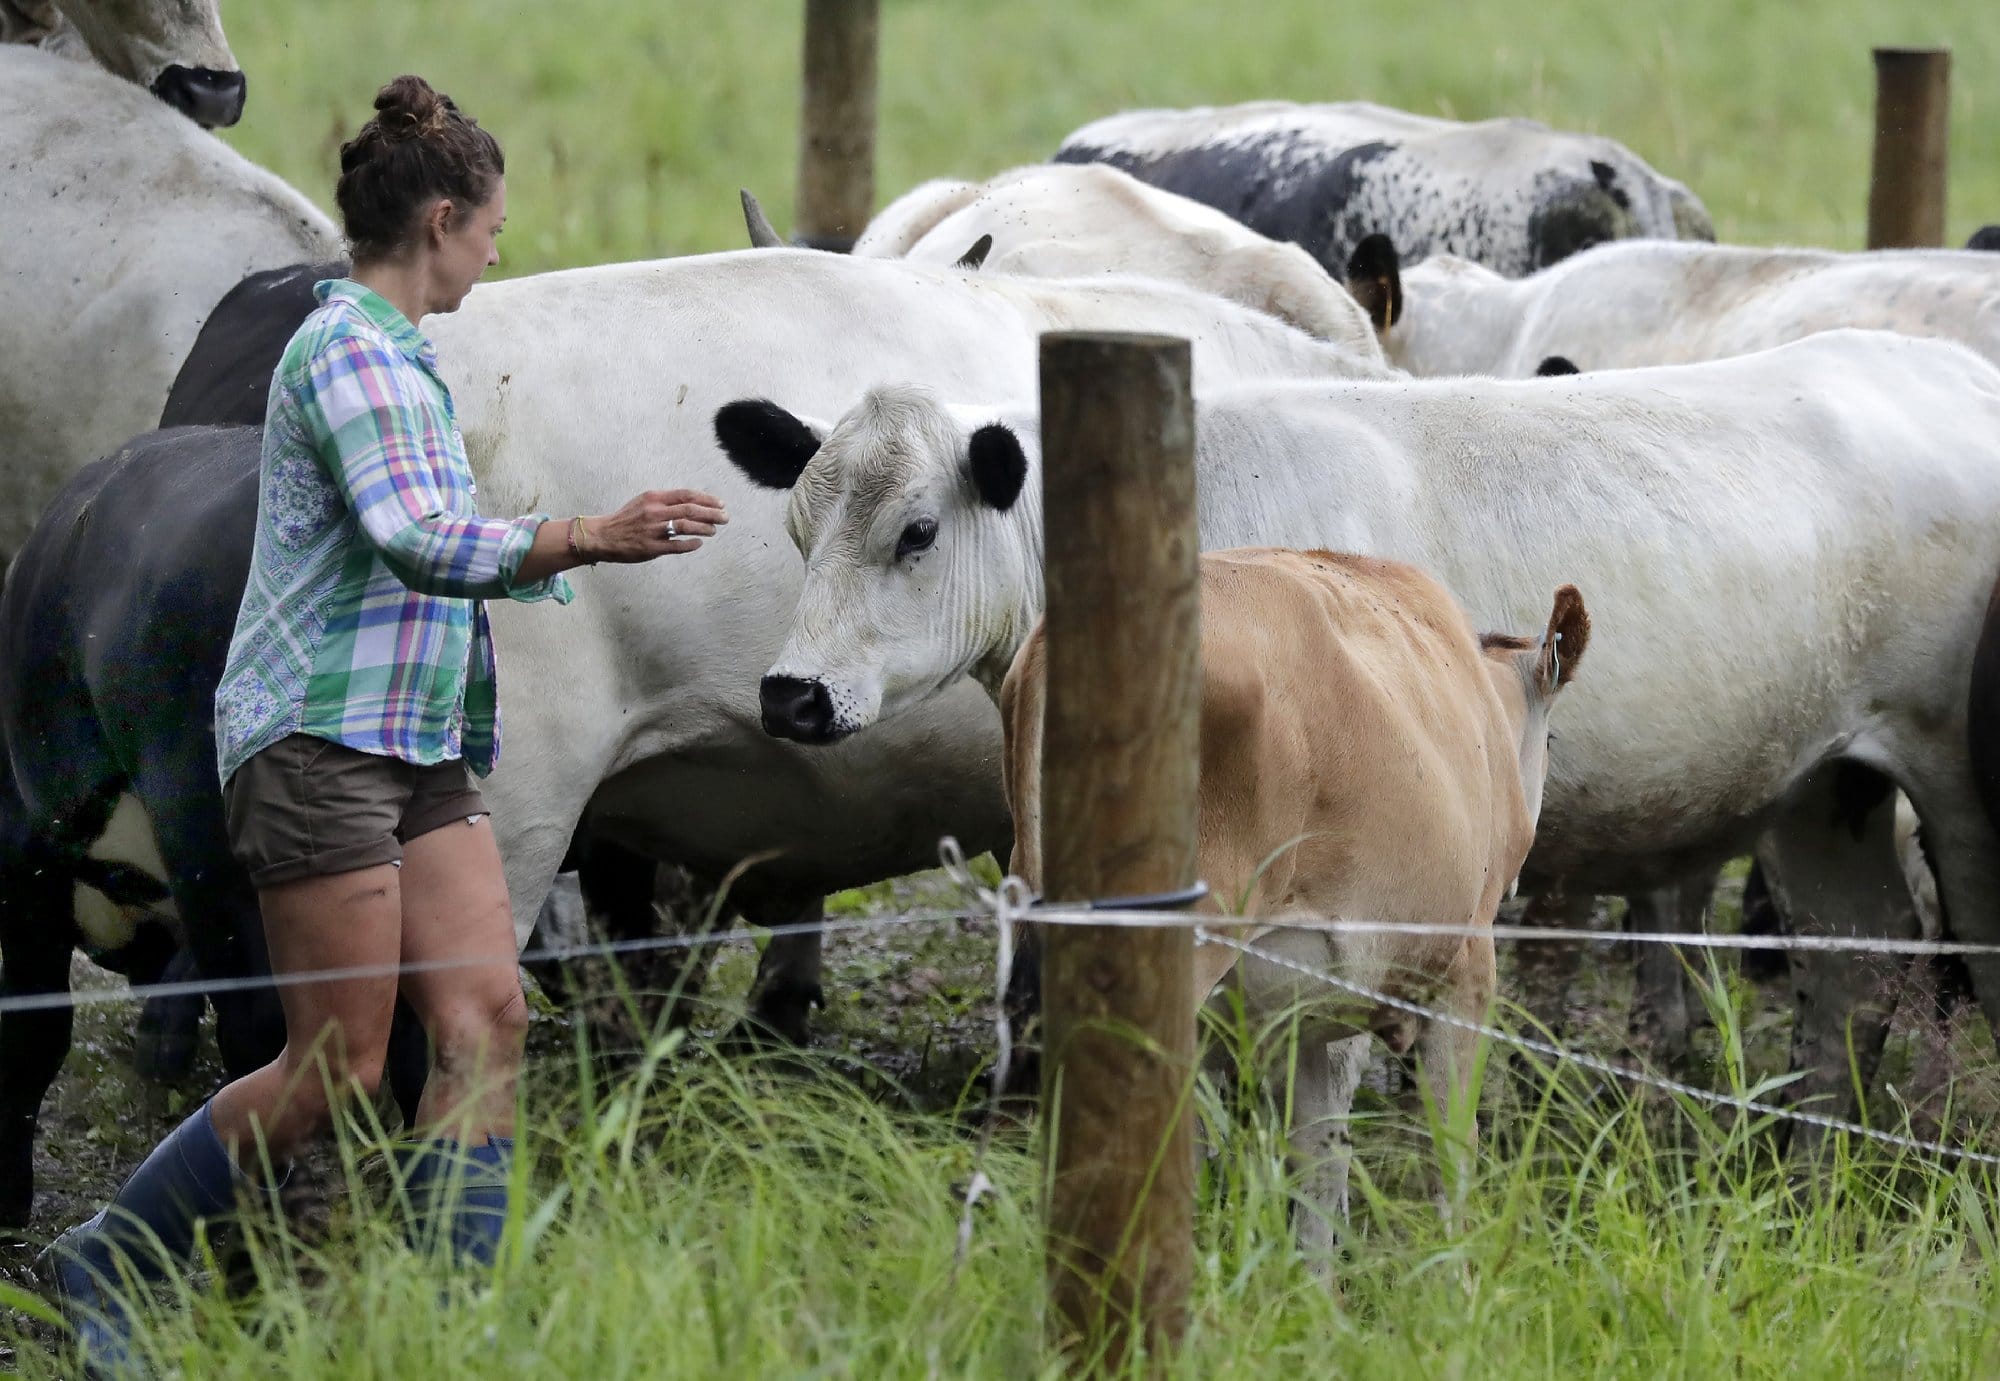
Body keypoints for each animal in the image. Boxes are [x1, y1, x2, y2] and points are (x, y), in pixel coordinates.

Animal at [716, 331, 2000, 1147]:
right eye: (796, 529)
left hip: (1956, 792)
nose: (790, 695)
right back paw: (1817, 1166)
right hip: (1820, 789)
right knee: (1857, 968)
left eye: (915, 531)